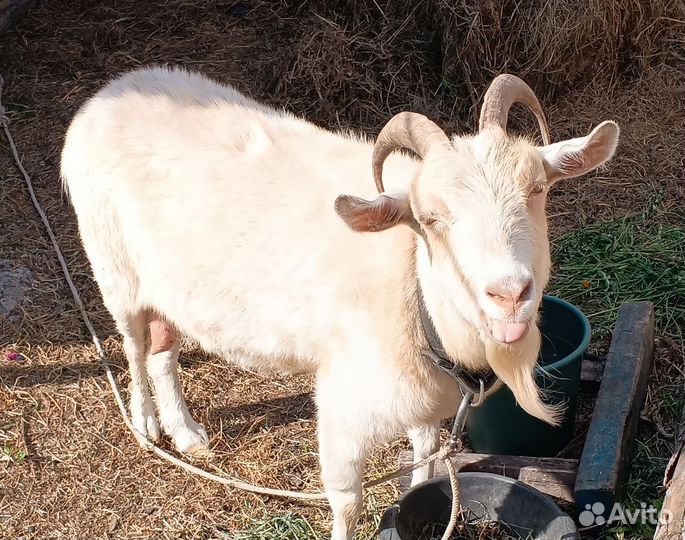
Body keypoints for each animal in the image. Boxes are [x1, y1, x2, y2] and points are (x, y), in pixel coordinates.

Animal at [61, 66, 619, 539]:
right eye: (429, 217)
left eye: (538, 189)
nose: (509, 293)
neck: (414, 288)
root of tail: (106, 94)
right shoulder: (343, 406)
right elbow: (347, 502)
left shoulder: (424, 408)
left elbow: (423, 473)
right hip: (115, 269)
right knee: (133, 346)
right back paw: (146, 425)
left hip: (169, 289)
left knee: (164, 350)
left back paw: (186, 432)